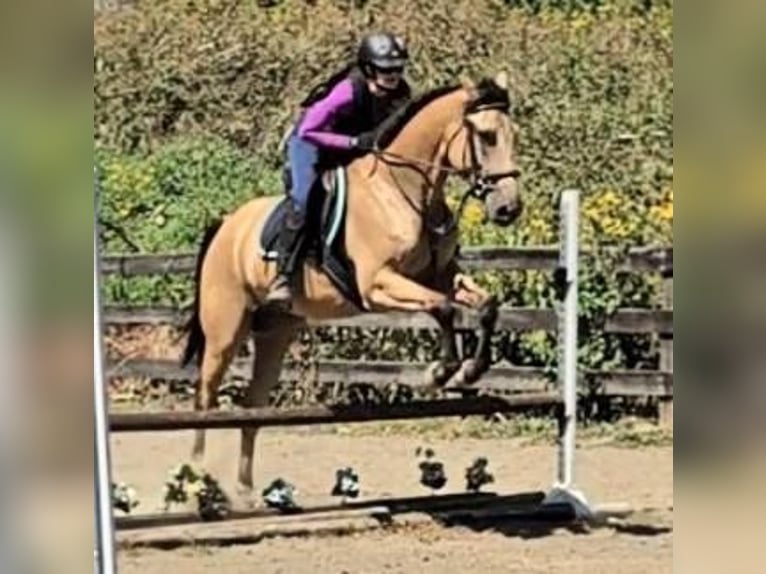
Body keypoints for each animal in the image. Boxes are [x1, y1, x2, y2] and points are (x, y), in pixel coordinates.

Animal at [181, 71, 523, 501]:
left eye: (511, 134)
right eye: (486, 136)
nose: (510, 209)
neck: (403, 189)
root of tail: (226, 224)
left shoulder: (441, 277)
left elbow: (485, 306)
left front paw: (470, 372)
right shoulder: (379, 284)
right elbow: (443, 308)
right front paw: (440, 372)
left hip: (275, 332)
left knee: (253, 403)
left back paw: (244, 489)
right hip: (225, 330)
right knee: (205, 395)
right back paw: (197, 476)